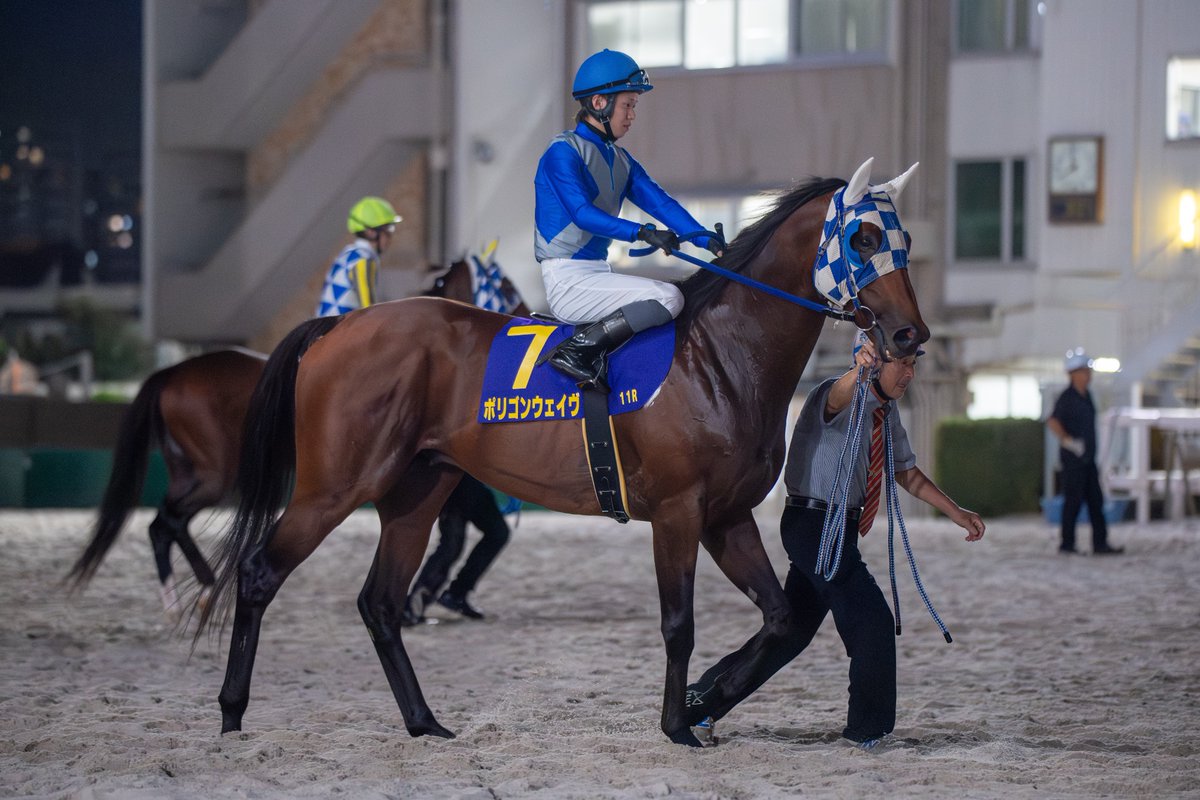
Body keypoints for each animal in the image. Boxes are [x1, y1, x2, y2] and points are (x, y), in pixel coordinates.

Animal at [67, 252, 527, 615]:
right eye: (504, 282)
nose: (527, 312)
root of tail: (173, 371)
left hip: (191, 471)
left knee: (165, 524)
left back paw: (195, 592)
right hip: (215, 476)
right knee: (165, 522)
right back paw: (196, 592)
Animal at [200, 159, 929, 747]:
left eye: (905, 239)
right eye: (862, 238)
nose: (909, 335)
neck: (721, 357)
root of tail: (337, 326)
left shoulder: (727, 515)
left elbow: (780, 620)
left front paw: (705, 697)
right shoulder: (678, 513)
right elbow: (678, 623)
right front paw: (677, 723)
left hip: (417, 493)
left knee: (380, 602)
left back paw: (424, 722)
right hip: (333, 488)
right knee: (260, 572)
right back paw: (232, 713)